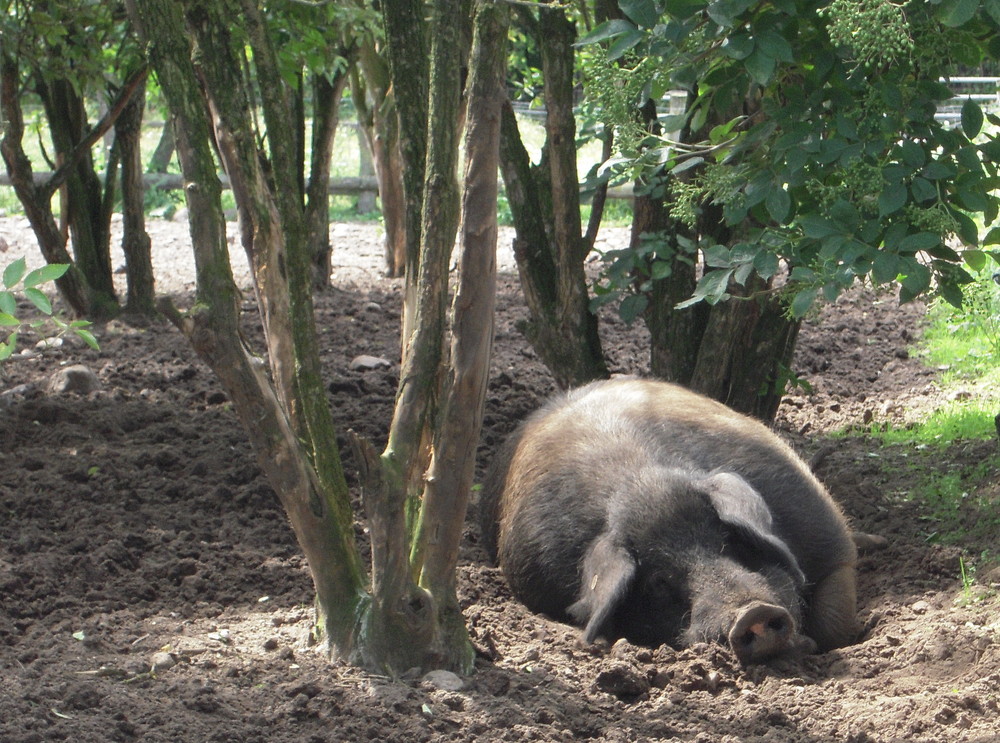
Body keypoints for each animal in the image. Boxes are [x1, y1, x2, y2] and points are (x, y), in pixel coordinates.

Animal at [480, 378, 856, 664]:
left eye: (728, 540)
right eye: (658, 581)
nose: (753, 613)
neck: (640, 482)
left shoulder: (831, 541)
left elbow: (836, 616)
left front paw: (810, 645)